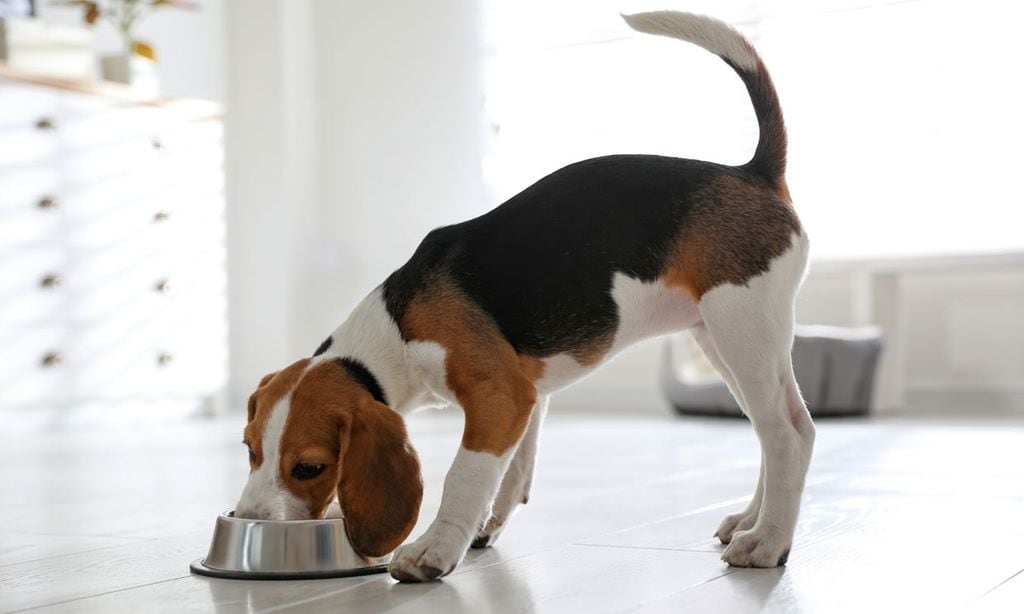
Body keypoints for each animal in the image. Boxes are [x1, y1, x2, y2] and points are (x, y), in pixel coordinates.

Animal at [234, 12, 815, 581]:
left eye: (310, 467)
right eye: (250, 449)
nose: (248, 518)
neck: (394, 327)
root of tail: (753, 172)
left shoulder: (498, 395)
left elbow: (464, 474)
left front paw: (433, 550)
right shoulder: (526, 394)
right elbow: (512, 472)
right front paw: (483, 527)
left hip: (741, 327)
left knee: (788, 435)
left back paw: (766, 542)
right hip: (724, 341)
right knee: (777, 431)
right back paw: (751, 519)